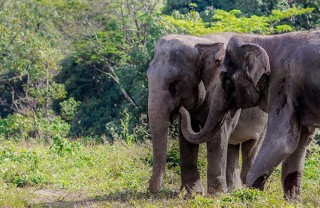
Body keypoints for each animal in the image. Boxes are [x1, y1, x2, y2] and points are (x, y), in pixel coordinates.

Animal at [148, 33, 268, 196]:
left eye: (175, 84)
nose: (154, 191)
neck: (201, 42)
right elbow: (187, 137)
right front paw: (192, 194)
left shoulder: (224, 91)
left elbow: (218, 136)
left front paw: (215, 195)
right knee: (232, 146)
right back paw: (234, 190)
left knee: (251, 146)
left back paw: (249, 190)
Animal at [180, 30, 320, 200]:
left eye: (224, 78)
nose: (182, 108)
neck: (266, 40)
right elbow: (299, 144)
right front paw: (293, 201)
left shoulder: (282, 84)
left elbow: (282, 141)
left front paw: (250, 194)